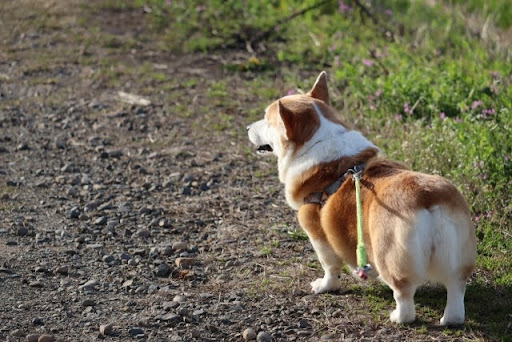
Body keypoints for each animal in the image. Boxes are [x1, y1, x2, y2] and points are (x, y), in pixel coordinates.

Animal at [248, 71, 476, 324]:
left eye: (266, 120)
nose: (247, 127)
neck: (319, 142)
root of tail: (429, 198)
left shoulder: (317, 235)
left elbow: (330, 267)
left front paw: (324, 286)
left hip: (391, 257)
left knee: (404, 295)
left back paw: (397, 317)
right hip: (458, 258)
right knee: (456, 289)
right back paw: (451, 319)